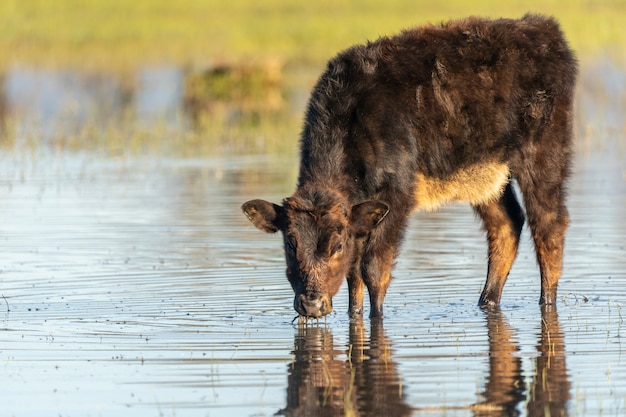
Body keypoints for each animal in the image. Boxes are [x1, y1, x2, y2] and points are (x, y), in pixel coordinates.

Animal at [240, 14, 576, 316]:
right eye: (290, 244)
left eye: (337, 245)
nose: (311, 304)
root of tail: (543, 28)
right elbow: (353, 274)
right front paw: (353, 314)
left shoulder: (396, 198)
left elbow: (373, 269)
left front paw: (376, 318)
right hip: (487, 177)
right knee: (507, 224)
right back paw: (486, 302)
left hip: (544, 156)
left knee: (548, 226)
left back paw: (546, 303)